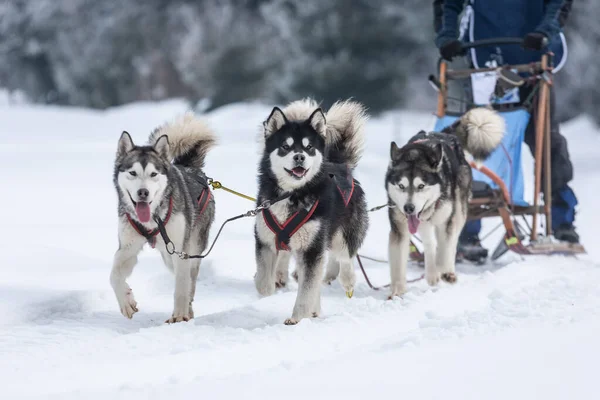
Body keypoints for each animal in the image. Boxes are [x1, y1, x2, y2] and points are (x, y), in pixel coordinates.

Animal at [111, 111, 217, 322]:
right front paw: (126, 301)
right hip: (168, 255)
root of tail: (190, 167)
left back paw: (187, 311)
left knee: (190, 281)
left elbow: (182, 287)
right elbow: (114, 275)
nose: (143, 192)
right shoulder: (128, 248)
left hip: (191, 248)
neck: (153, 219)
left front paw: (179, 317)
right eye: (133, 172)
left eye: (153, 174)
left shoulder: (182, 251)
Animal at [254, 98, 368, 324]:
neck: (291, 194)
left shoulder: (312, 248)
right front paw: (266, 286)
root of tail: (340, 165)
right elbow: (263, 281)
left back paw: (348, 280)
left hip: (340, 236)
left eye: (309, 147)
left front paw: (297, 317)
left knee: (345, 257)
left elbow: (306, 290)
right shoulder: (265, 240)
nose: (299, 156)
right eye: (285, 146)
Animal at [384, 106, 506, 296]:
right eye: (401, 186)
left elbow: (445, 247)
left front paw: (444, 271)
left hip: (459, 212)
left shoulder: (446, 222)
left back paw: (446, 271)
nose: (409, 208)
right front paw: (397, 293)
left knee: (452, 241)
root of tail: (446, 134)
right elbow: (399, 262)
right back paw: (432, 273)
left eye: (421, 186)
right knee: (430, 243)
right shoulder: (400, 228)